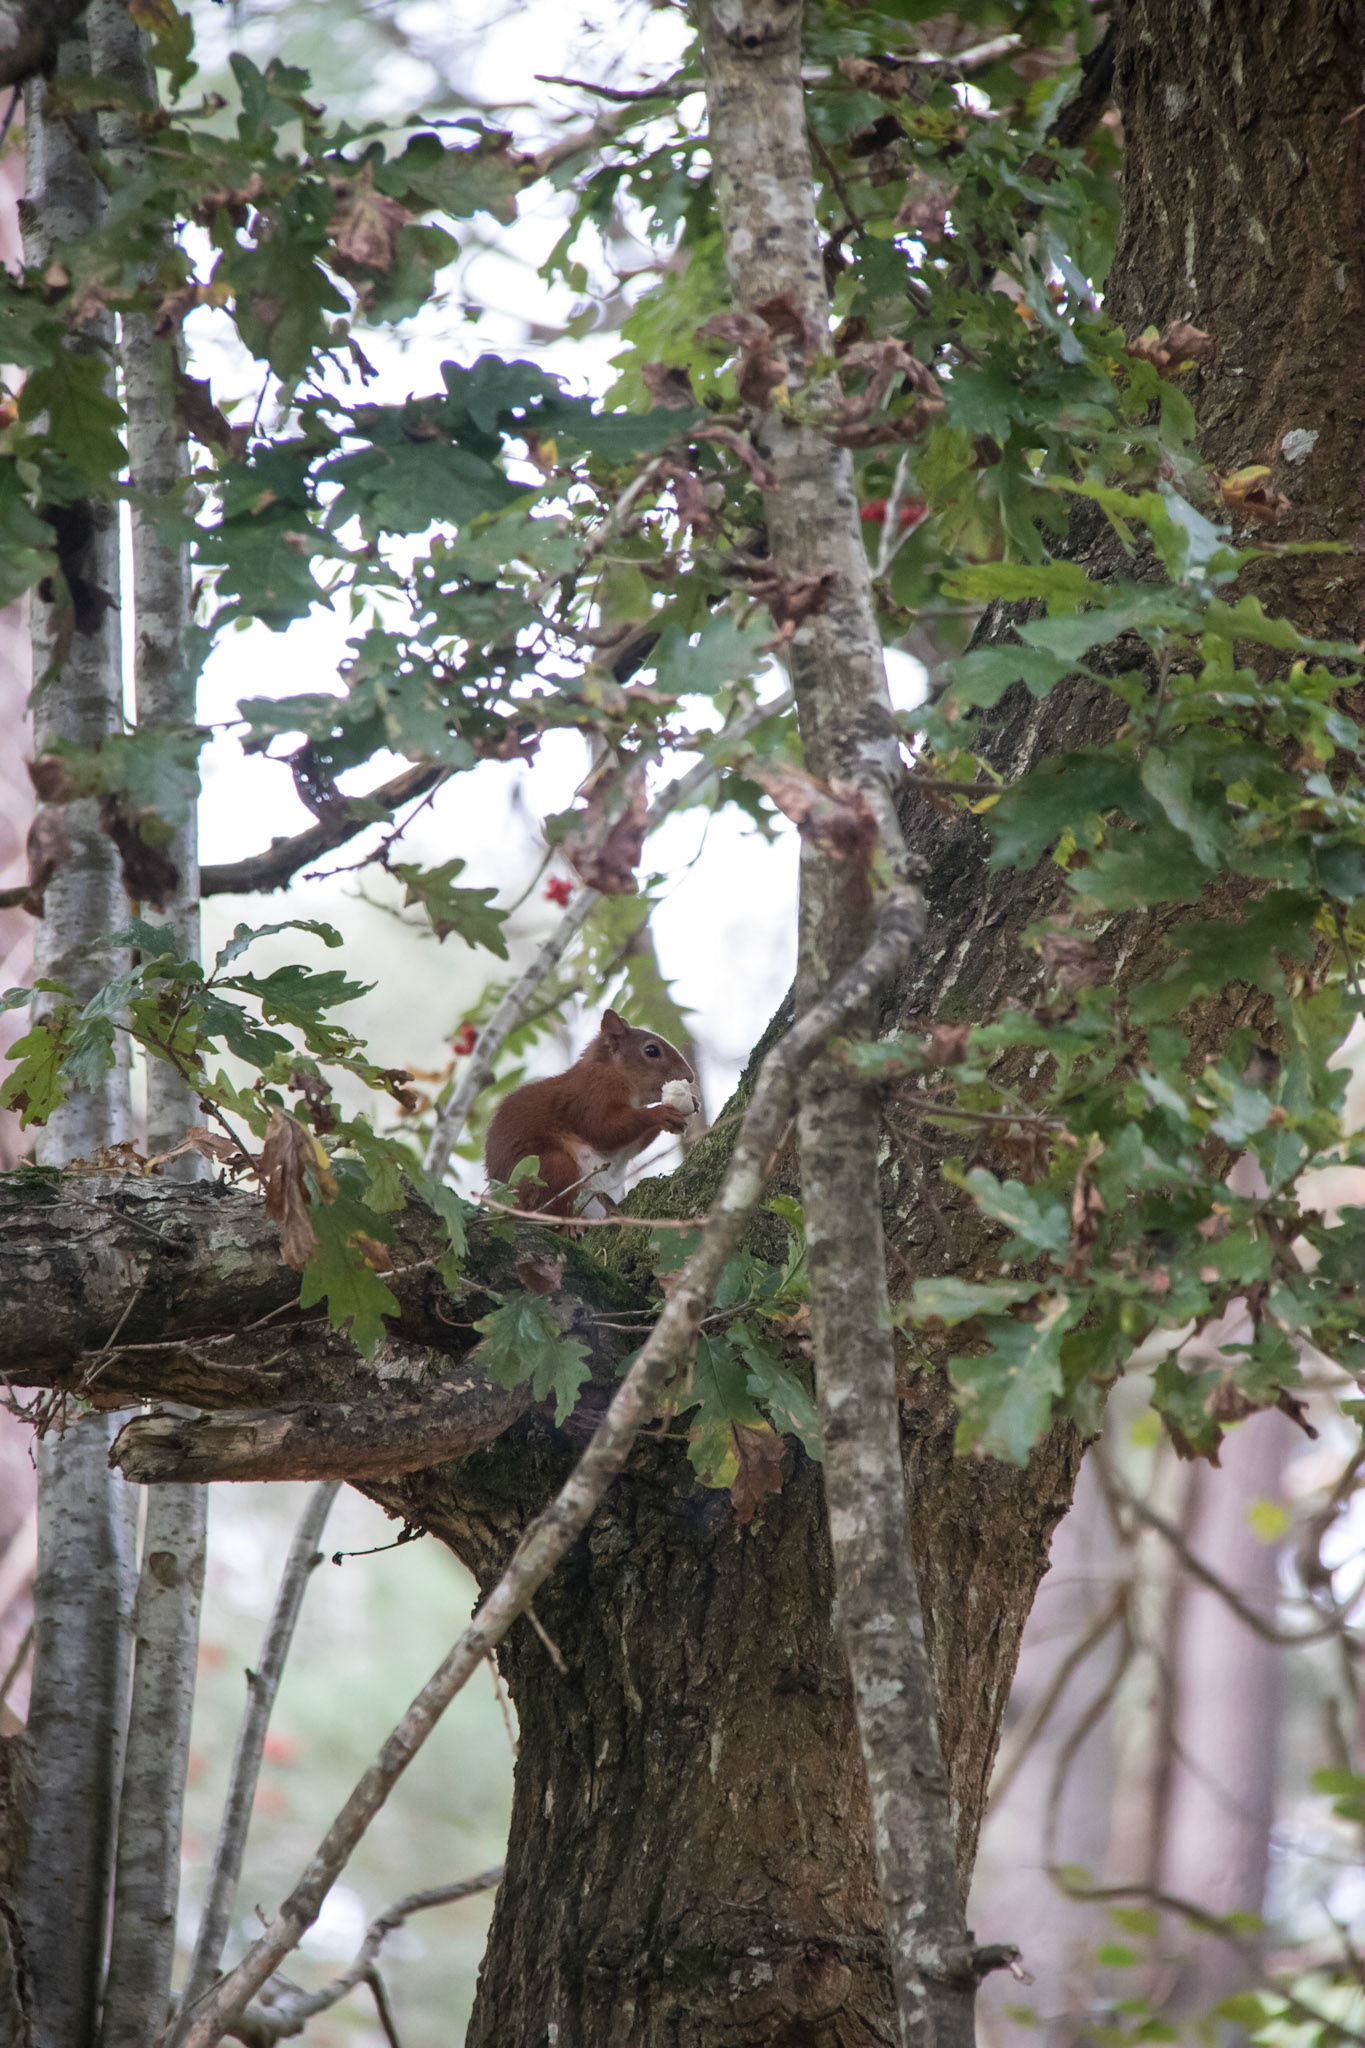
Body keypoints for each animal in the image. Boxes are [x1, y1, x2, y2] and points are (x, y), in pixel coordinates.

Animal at [485, 1009, 699, 1216]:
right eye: (652, 1050)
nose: (690, 1076)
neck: (609, 1071)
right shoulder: (589, 1098)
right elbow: (602, 1129)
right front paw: (660, 1113)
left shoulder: (623, 1147)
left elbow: (630, 1146)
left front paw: (691, 1105)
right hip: (545, 1170)